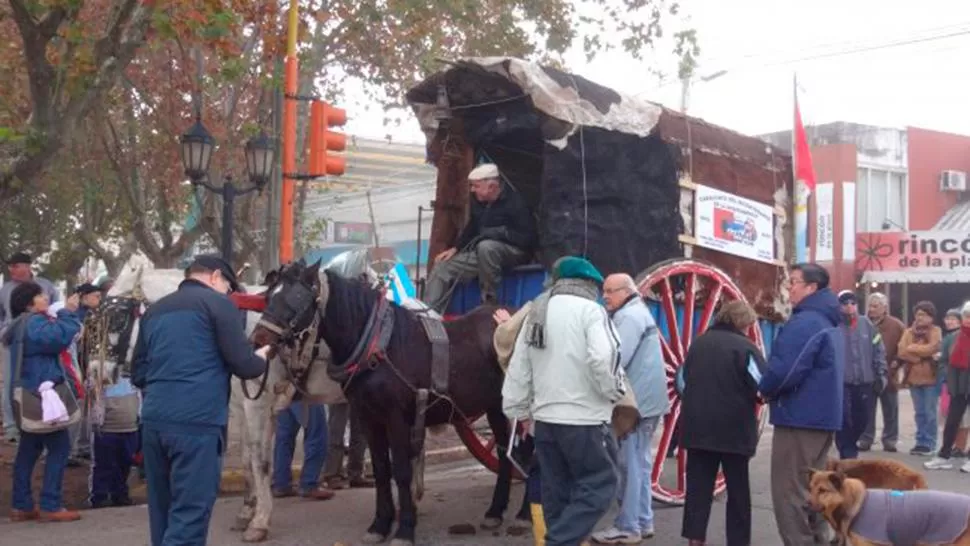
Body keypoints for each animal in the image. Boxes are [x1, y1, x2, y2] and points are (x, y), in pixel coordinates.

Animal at [246, 260, 524, 544]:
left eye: (299, 298)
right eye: (269, 296)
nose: (258, 339)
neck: (378, 345)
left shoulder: (396, 418)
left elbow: (400, 470)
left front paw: (405, 529)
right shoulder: (369, 418)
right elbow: (381, 470)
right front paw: (380, 524)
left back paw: (521, 513)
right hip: (496, 407)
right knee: (507, 451)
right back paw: (496, 511)